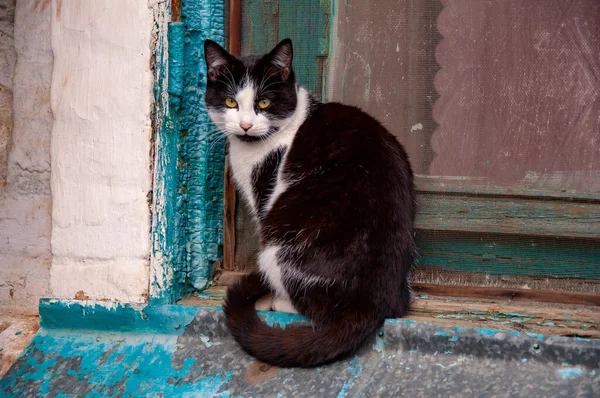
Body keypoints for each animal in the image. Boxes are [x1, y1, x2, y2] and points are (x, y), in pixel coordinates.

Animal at [204, 37, 414, 366]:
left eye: (263, 103)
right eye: (230, 103)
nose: (246, 125)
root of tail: (371, 304)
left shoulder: (265, 193)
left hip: (279, 239)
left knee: (317, 310)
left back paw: (276, 301)